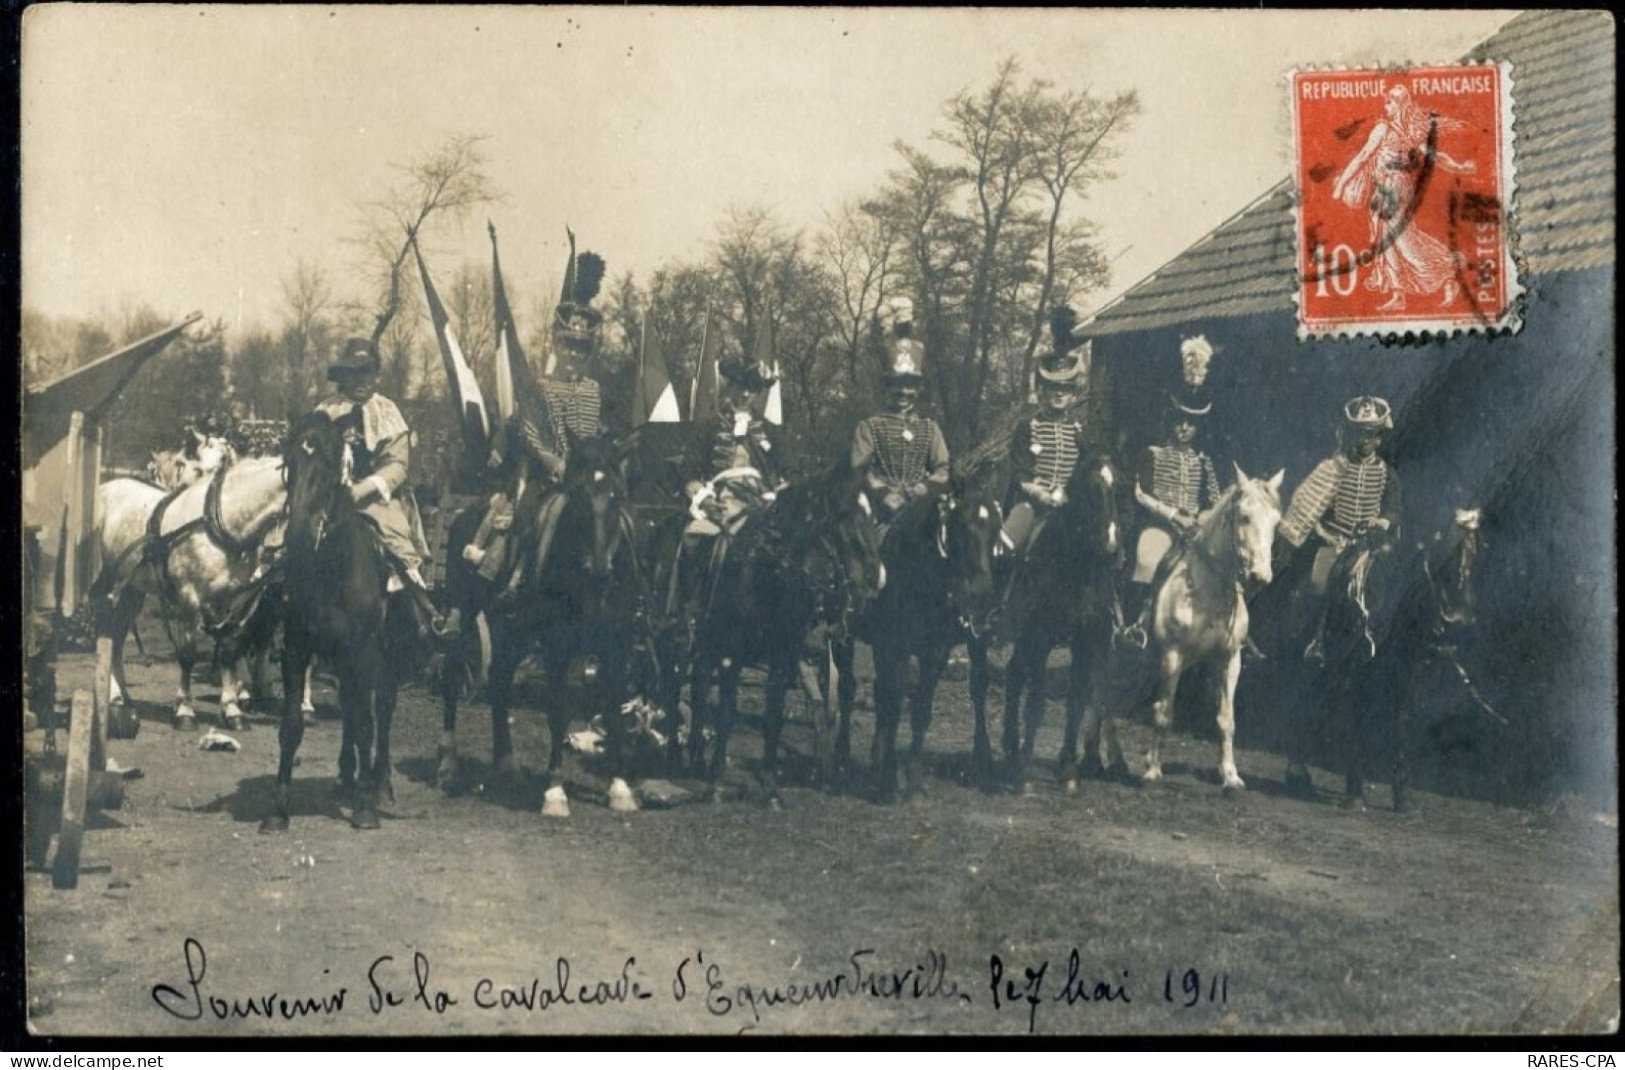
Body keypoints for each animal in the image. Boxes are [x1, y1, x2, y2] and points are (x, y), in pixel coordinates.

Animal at [93, 455, 294, 728]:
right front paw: (185, 711)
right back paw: (113, 696)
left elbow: (228, 650)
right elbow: (188, 655)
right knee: (107, 631)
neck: (221, 523)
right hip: (107, 586)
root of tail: (104, 488)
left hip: (131, 593)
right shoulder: (189, 599)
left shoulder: (229, 601)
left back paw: (121, 697)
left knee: (117, 637)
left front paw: (232, 710)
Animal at [1131, 461, 1280, 787]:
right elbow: (1163, 713)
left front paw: (1230, 775)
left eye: (1276, 522)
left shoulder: (1229, 660)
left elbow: (1226, 719)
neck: (1208, 594)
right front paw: (1152, 769)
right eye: (1245, 516)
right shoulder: (1172, 656)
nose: (1261, 575)